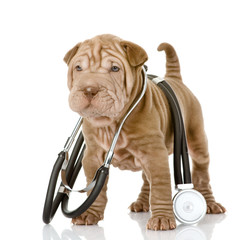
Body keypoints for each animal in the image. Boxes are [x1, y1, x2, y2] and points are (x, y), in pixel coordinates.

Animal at [63, 34, 226, 231]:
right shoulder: (92, 156)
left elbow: (160, 186)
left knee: (202, 173)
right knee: (147, 180)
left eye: (115, 68)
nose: (89, 89)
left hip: (196, 139)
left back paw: (211, 204)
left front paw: (162, 218)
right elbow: (95, 190)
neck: (112, 123)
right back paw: (141, 203)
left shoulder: (155, 154)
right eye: (78, 68)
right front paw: (89, 213)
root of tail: (175, 79)